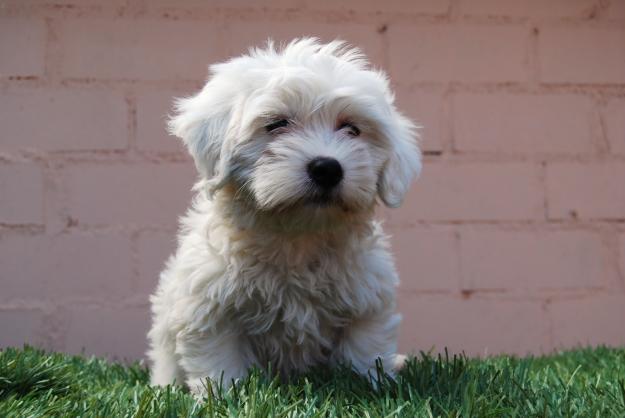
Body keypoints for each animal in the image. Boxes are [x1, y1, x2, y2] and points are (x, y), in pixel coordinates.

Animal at [147, 37, 420, 394]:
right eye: (276, 124)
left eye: (351, 129)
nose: (327, 168)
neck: (296, 237)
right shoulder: (210, 310)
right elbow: (220, 362)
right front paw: (223, 396)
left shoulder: (366, 303)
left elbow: (363, 352)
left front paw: (367, 386)